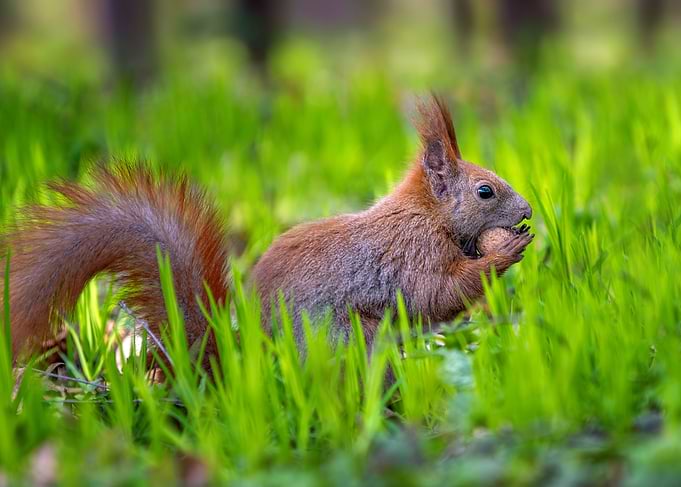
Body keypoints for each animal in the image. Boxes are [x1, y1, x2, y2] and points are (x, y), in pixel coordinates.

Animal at [0, 95, 533, 359]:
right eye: (485, 191)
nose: (527, 211)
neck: (427, 214)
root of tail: (245, 360)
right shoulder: (412, 251)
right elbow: (434, 294)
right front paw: (504, 252)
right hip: (342, 339)